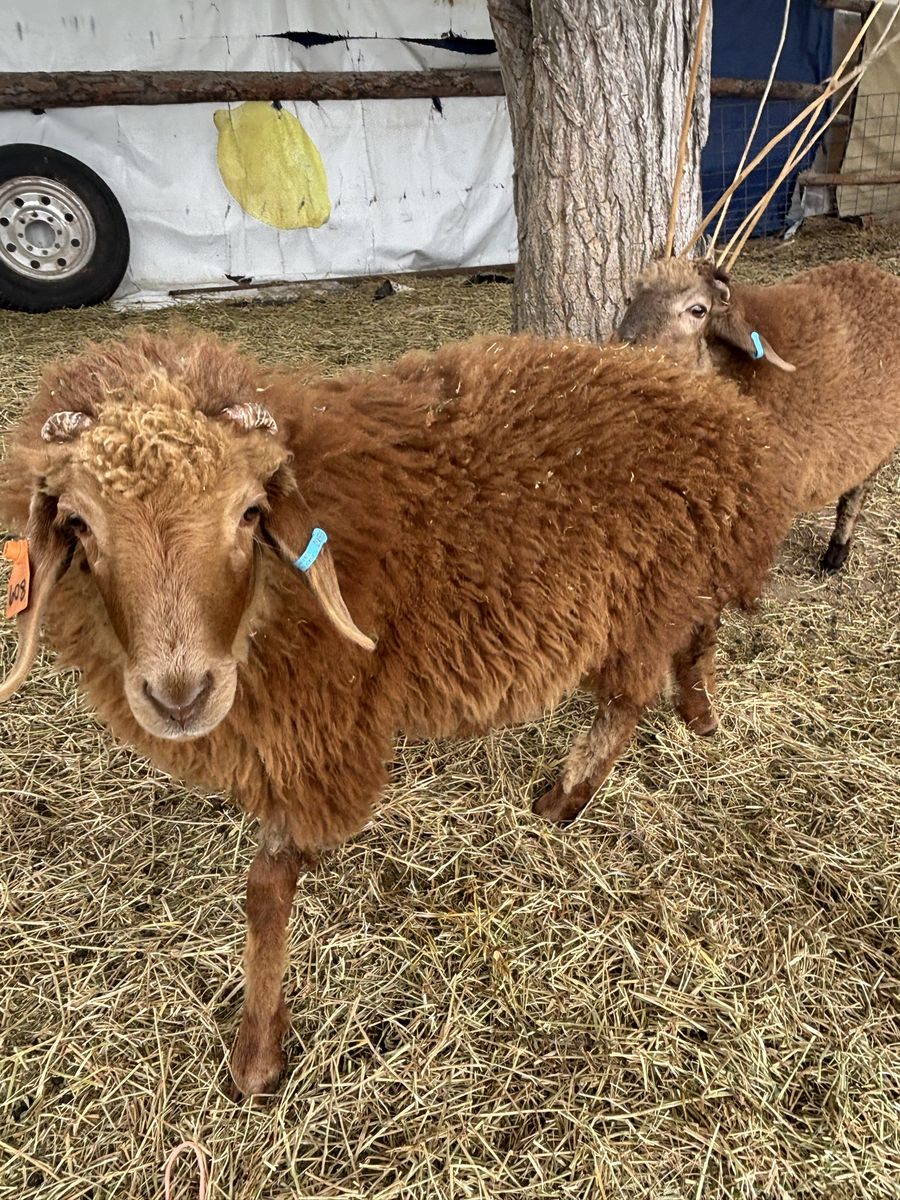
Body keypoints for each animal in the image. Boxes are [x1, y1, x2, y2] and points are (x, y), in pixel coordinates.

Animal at [0, 329, 798, 1096]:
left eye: (250, 514)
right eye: (79, 524)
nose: (180, 694)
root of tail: (730, 414)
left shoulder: (322, 736)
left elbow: (266, 891)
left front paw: (256, 1057)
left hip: (653, 590)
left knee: (628, 699)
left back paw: (568, 794)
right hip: (681, 579)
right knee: (696, 635)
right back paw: (697, 709)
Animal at [616, 257, 900, 573]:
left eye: (698, 310)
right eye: (634, 295)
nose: (621, 348)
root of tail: (881, 275)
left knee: (856, 493)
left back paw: (837, 552)